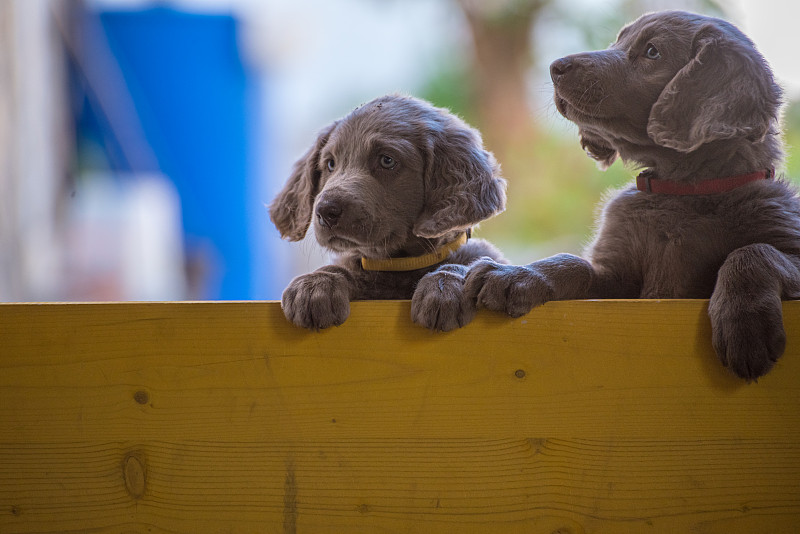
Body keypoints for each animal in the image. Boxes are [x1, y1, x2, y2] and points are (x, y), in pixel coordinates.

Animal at [268, 94, 506, 332]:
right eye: (331, 164)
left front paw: (444, 284)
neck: (398, 266)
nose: (326, 211)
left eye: (387, 160)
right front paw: (316, 284)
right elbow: (345, 268)